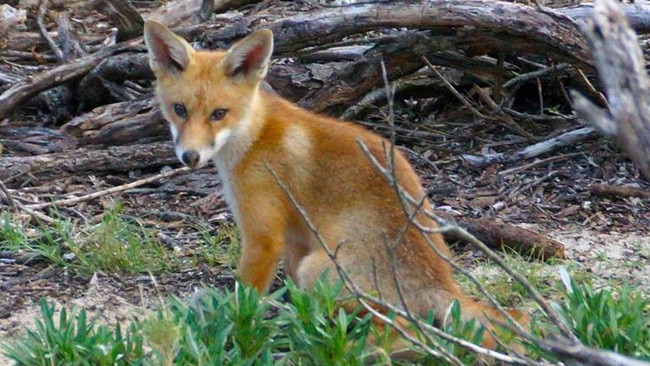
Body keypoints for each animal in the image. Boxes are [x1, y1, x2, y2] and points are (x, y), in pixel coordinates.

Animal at [143, 20, 528, 354]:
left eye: (219, 114)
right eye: (179, 109)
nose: (189, 157)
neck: (255, 136)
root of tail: (443, 282)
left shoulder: (264, 237)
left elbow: (244, 301)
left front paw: (233, 331)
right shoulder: (296, 237)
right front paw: (291, 316)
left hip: (318, 270)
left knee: (407, 328)